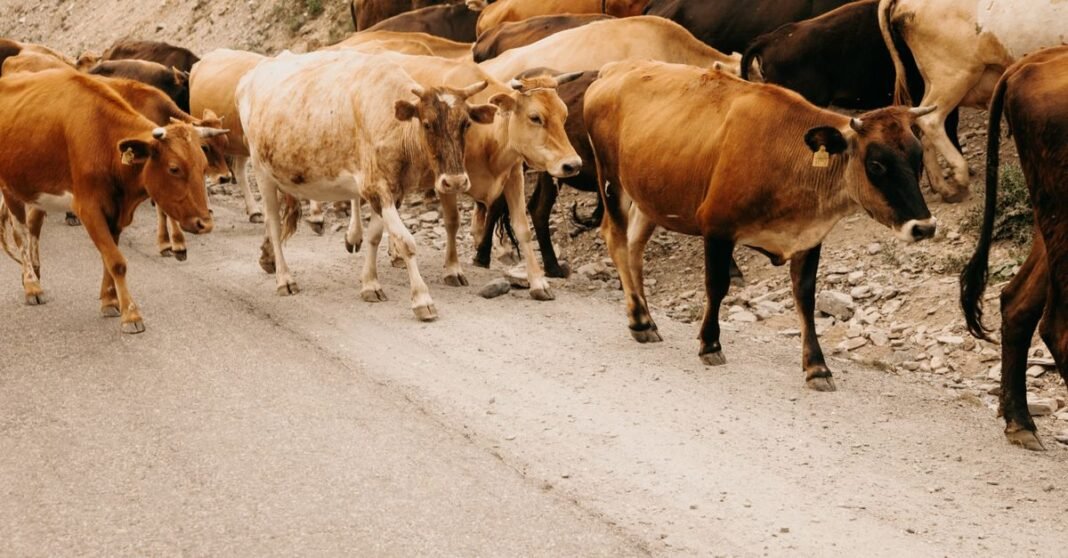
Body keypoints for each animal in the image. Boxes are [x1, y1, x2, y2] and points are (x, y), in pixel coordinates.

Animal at [0, 68, 217, 333]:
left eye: (204, 166)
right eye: (174, 168)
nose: (205, 224)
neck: (104, 138)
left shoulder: (115, 211)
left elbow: (108, 257)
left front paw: (110, 300)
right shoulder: (88, 208)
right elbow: (116, 260)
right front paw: (131, 314)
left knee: (33, 226)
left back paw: (35, 272)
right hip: (10, 188)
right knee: (20, 233)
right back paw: (31, 284)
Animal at [237, 50, 498, 320]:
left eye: (466, 124)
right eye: (427, 124)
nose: (455, 181)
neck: (394, 125)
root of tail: (252, 74)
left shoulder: (392, 191)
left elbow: (375, 236)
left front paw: (370, 284)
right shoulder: (376, 187)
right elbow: (406, 241)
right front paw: (422, 299)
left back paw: (267, 258)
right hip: (261, 171)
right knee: (273, 223)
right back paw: (284, 279)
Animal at [585, 59, 937, 390]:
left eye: (918, 158)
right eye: (876, 164)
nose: (924, 227)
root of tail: (614, 69)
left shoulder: (809, 238)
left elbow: (805, 298)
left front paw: (817, 367)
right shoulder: (716, 226)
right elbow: (717, 285)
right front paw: (710, 343)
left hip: (649, 196)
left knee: (634, 247)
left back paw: (646, 317)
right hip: (611, 180)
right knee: (616, 239)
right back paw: (640, 321)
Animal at [879, 0, 1068, 202]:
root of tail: (902, 2)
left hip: (935, 82)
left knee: (923, 125)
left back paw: (944, 188)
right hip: (954, 76)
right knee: (930, 120)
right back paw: (960, 173)